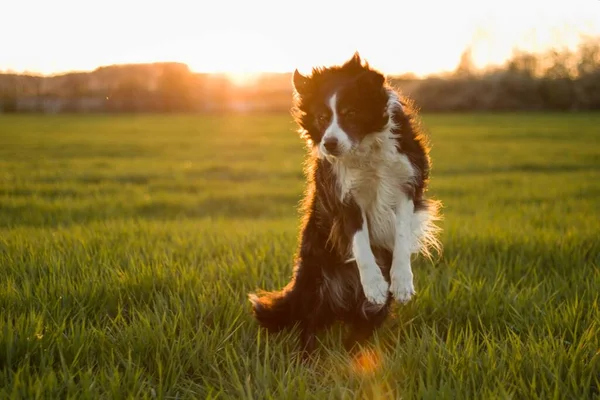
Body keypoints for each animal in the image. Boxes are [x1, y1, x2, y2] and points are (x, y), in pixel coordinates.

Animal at [247, 53, 440, 356]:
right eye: (321, 118)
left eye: (350, 113)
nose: (330, 144)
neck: (364, 149)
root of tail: (339, 307)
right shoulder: (343, 195)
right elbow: (360, 242)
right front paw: (374, 284)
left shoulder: (406, 184)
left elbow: (401, 235)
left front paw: (401, 281)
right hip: (314, 277)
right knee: (308, 323)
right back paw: (307, 358)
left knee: (362, 326)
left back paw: (355, 352)